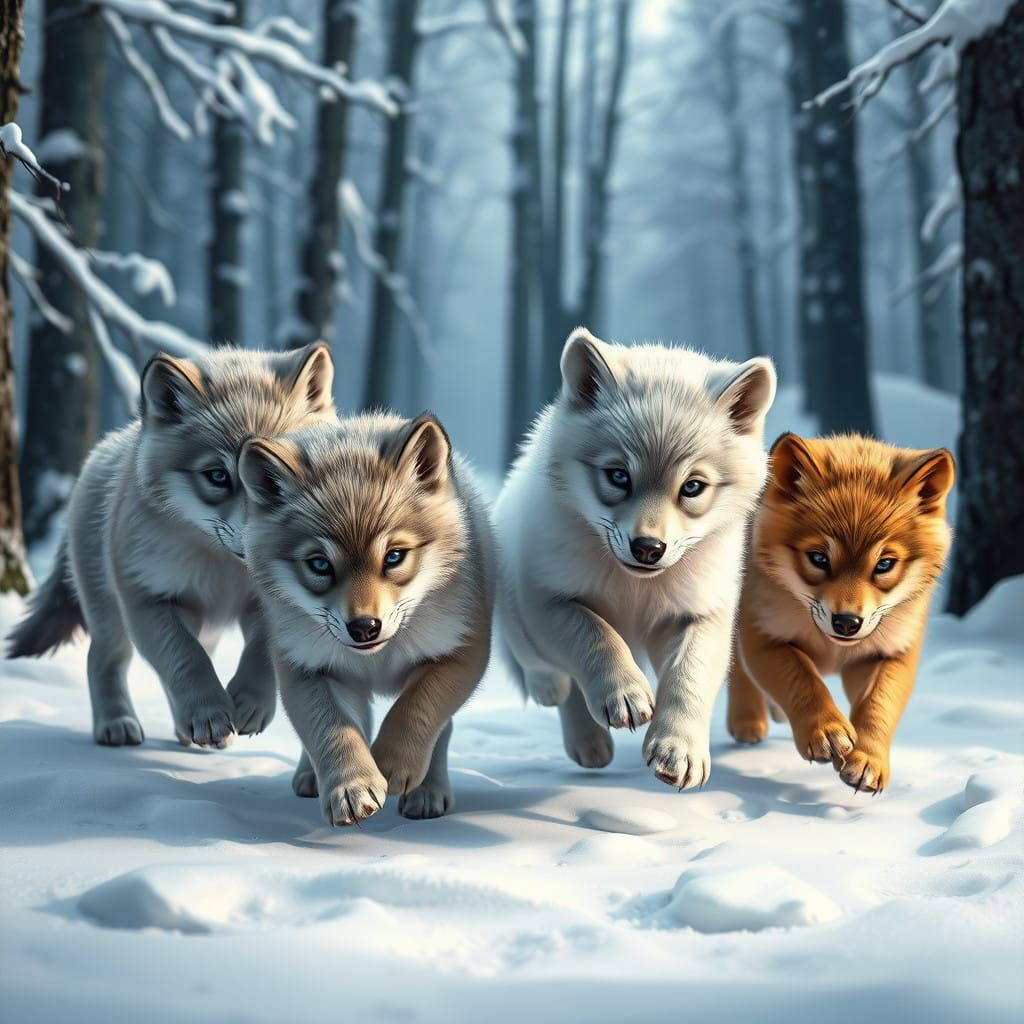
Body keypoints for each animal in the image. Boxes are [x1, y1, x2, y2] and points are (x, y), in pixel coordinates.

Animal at [6, 343, 335, 749]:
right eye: (218, 476)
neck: (225, 572)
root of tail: (105, 448)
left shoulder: (271, 608)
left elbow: (258, 656)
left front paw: (248, 705)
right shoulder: (149, 599)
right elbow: (185, 659)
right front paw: (208, 715)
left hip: (200, 626)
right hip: (112, 616)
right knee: (103, 659)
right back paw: (117, 724)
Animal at [237, 412, 493, 825]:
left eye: (394, 556)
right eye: (320, 565)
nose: (364, 627)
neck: (378, 659)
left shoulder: (460, 652)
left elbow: (419, 708)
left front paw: (391, 764)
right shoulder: (304, 666)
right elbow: (330, 730)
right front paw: (351, 788)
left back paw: (428, 789)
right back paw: (312, 776)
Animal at [495, 328, 777, 788]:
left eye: (692, 486)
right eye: (618, 476)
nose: (648, 548)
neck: (636, 590)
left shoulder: (701, 611)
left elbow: (690, 675)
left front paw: (678, 751)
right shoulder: (546, 599)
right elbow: (595, 635)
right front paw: (625, 695)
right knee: (543, 667)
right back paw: (567, 713)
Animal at [728, 432, 955, 792]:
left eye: (884, 564)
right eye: (819, 558)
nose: (847, 623)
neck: (832, 650)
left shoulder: (890, 654)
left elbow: (878, 706)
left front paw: (868, 762)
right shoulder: (763, 636)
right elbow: (803, 680)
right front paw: (827, 732)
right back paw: (748, 722)